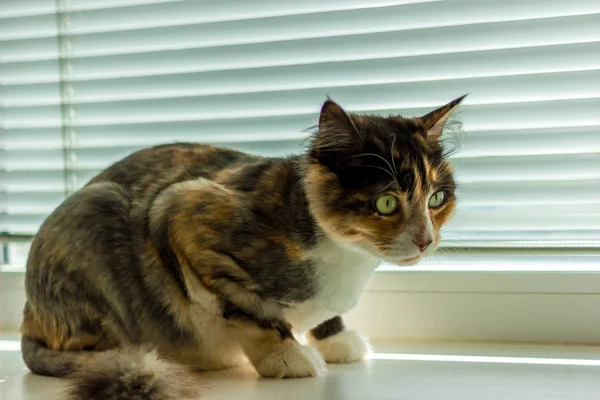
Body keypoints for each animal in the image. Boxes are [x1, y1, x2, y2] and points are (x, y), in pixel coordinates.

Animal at [19, 95, 464, 398]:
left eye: (437, 199)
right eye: (386, 203)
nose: (425, 240)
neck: (345, 262)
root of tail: (29, 314)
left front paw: (334, 337)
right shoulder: (178, 212)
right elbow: (247, 309)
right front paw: (286, 355)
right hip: (97, 208)